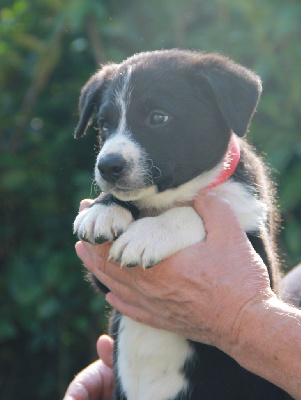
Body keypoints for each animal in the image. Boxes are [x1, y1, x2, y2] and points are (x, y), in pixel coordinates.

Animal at [72, 50, 290, 400]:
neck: (173, 196)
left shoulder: (264, 264)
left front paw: (150, 233)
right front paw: (103, 209)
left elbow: (195, 211)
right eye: (104, 124)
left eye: (158, 118)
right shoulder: (109, 285)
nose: (107, 166)